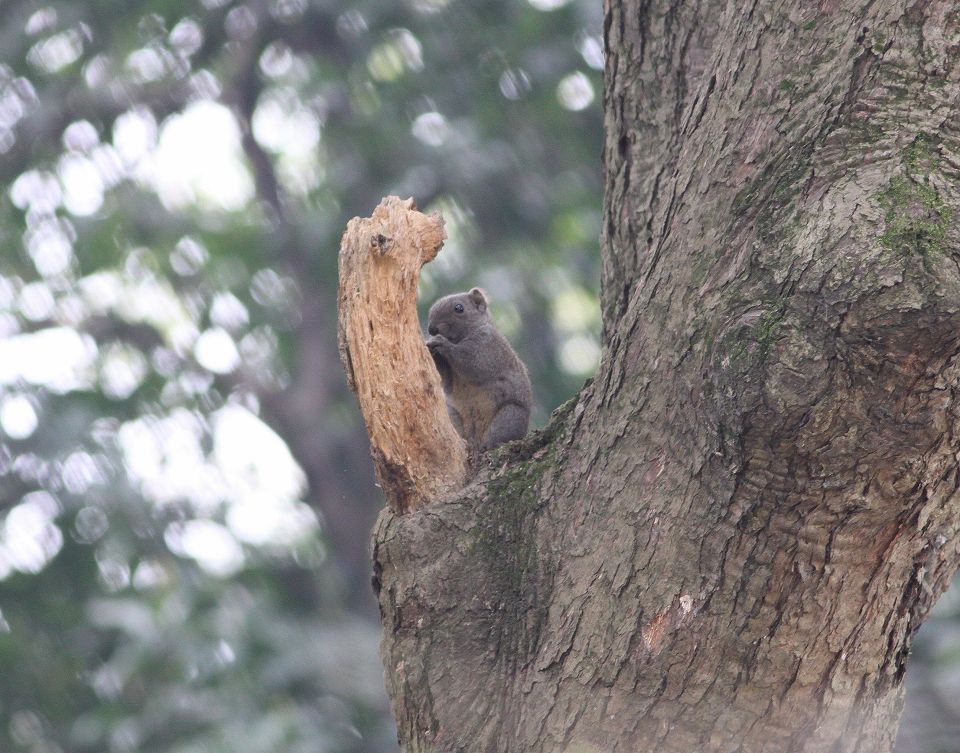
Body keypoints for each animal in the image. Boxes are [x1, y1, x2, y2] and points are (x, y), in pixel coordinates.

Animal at [426, 288, 532, 452]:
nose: (431, 329)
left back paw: (488, 445)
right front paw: (431, 349)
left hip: (511, 415)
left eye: (459, 308)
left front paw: (441, 343)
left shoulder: (488, 347)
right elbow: (447, 381)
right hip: (453, 415)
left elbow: (472, 362)